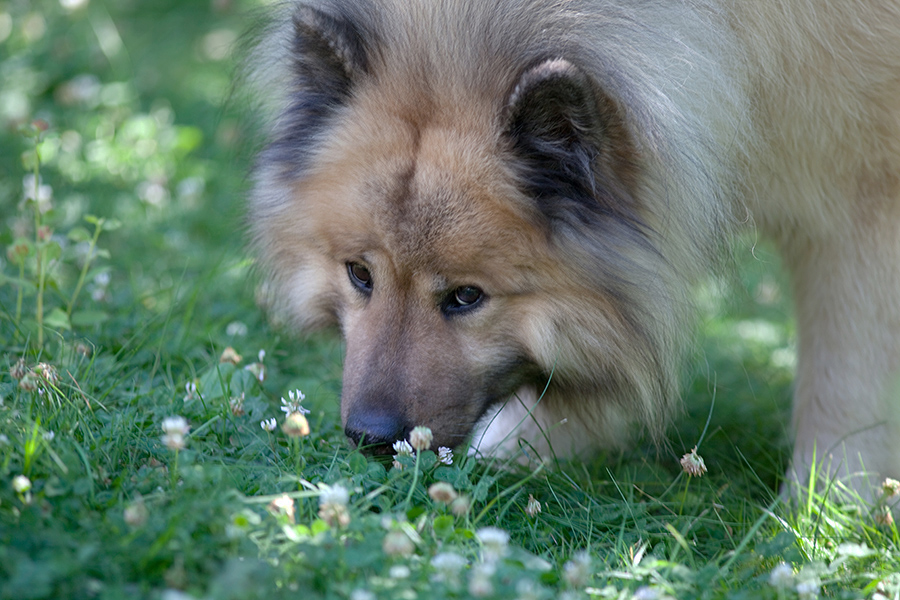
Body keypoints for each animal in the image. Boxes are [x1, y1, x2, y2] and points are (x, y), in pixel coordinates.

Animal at [246, 0, 900, 496]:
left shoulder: (859, 212)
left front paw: (817, 513)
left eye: (466, 297)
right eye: (359, 275)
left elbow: (841, 386)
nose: (371, 437)